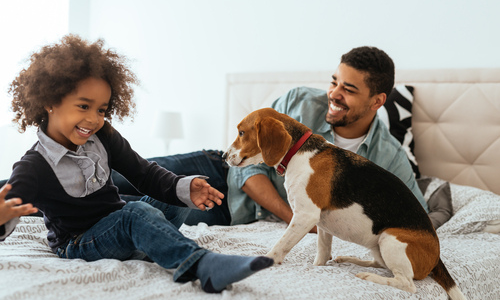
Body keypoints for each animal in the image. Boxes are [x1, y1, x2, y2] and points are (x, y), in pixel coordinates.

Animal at [225, 108, 466, 300]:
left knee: (406, 283)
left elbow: (280, 246)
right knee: (381, 265)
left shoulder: (304, 216)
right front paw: (320, 265)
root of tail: (437, 258)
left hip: (391, 239)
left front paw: (263, 261)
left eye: (241, 133)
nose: (224, 156)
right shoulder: (321, 225)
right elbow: (321, 255)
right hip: (379, 246)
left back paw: (367, 276)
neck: (298, 152)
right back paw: (350, 260)